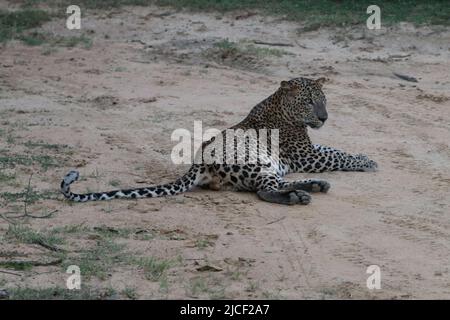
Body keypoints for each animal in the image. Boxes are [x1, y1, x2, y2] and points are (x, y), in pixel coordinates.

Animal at [61, 77, 378, 205]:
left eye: (324, 100)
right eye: (309, 102)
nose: (324, 118)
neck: (280, 105)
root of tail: (198, 164)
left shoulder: (309, 149)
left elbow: (337, 149)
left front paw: (365, 157)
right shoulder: (306, 155)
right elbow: (338, 156)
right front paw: (368, 163)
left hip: (268, 165)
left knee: (275, 183)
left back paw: (314, 186)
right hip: (256, 161)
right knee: (264, 191)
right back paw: (298, 197)